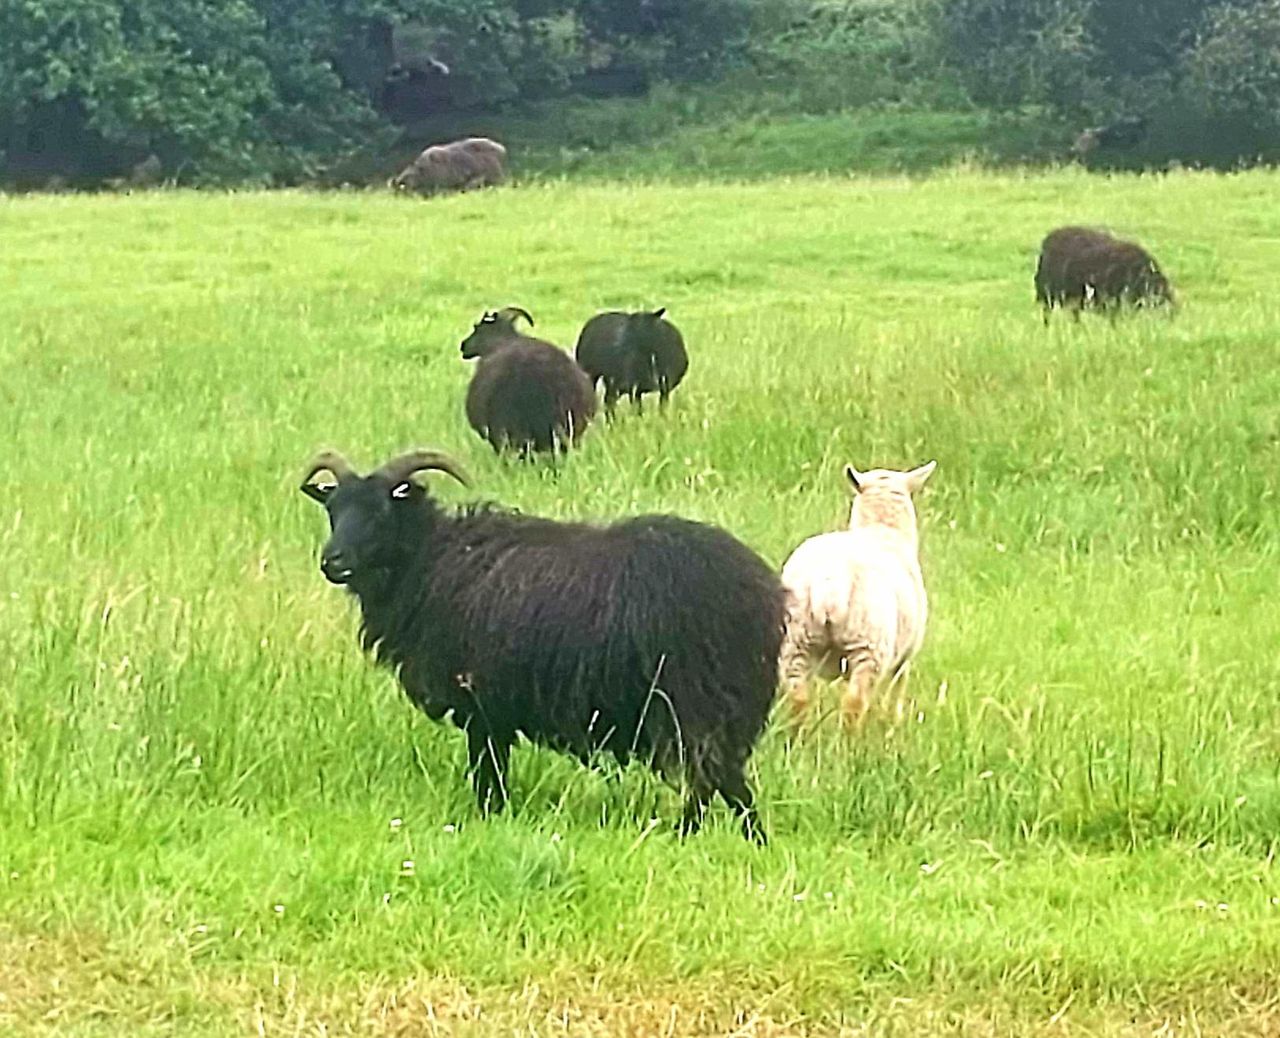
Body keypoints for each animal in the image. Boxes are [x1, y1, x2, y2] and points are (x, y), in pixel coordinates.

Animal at [299, 448, 787, 843]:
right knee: (724, 781)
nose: (332, 561)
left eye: (381, 511)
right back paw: (747, 839)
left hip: (694, 702)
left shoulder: (483, 709)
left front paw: (489, 823)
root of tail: (760, 594)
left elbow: (489, 781)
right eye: (333, 510)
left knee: (712, 779)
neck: (428, 560)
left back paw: (691, 836)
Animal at [779, 461, 936, 727]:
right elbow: (897, 691)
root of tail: (830, 581)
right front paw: (893, 723)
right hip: (868, 647)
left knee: (798, 700)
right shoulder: (905, 656)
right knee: (854, 703)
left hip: (795, 642)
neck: (882, 530)